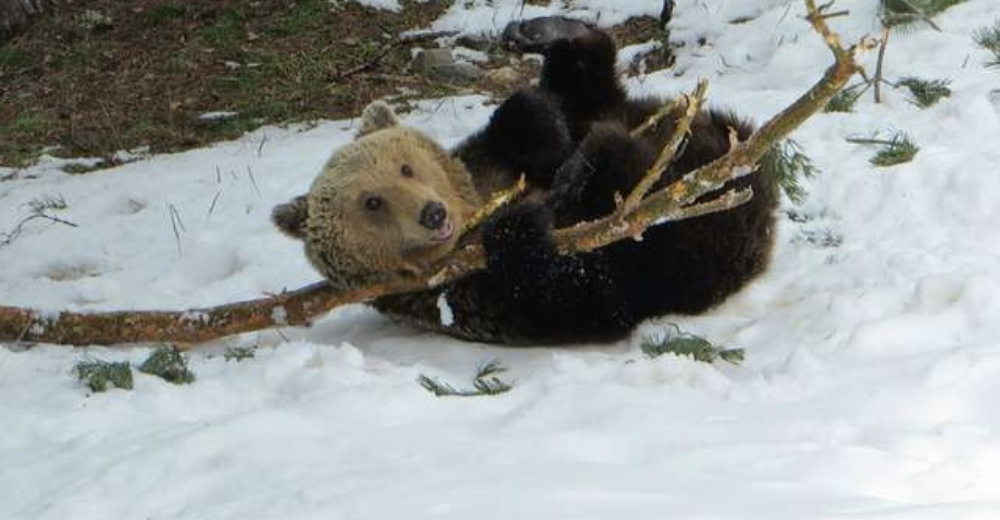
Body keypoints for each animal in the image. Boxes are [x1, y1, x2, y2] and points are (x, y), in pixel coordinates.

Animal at [276, 18, 780, 346]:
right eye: (372, 202)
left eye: (405, 167)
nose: (432, 213)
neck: (478, 204)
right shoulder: (460, 295)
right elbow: (572, 292)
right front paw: (527, 219)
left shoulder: (490, 155)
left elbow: (534, 119)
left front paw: (547, 140)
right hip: (694, 251)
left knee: (593, 91)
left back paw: (549, 37)